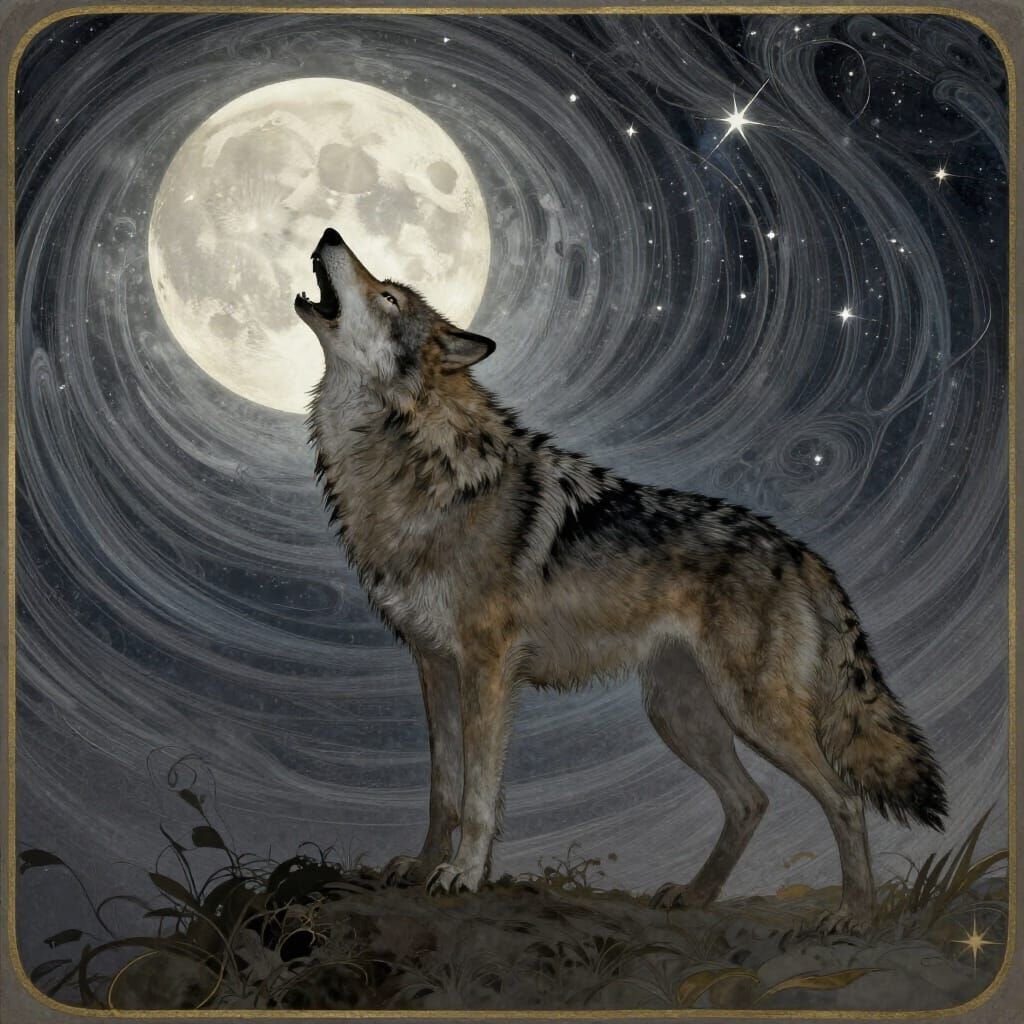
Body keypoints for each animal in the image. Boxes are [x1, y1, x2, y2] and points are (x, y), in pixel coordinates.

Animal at [295, 227, 947, 932]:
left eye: (387, 297)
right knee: (750, 800)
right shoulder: (433, 664)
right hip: (679, 714)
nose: (329, 232)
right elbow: (441, 789)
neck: (412, 463)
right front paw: (418, 870)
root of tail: (800, 551)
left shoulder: (486, 668)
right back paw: (694, 896)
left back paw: (855, 914)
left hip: (752, 712)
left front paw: (464, 875)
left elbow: (478, 795)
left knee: (844, 800)